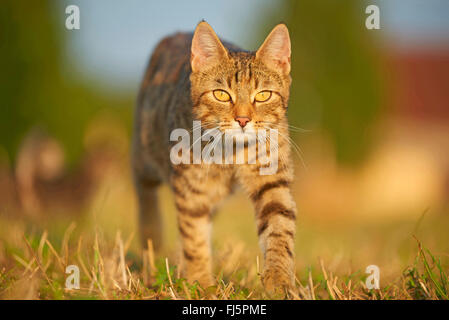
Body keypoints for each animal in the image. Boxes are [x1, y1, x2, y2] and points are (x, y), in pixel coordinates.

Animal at [131, 21, 296, 294]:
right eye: (221, 94)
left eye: (263, 95)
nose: (243, 119)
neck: (231, 152)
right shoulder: (191, 186)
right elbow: (194, 237)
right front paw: (200, 283)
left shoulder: (271, 178)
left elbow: (279, 227)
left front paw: (280, 280)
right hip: (145, 152)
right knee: (144, 193)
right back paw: (152, 246)